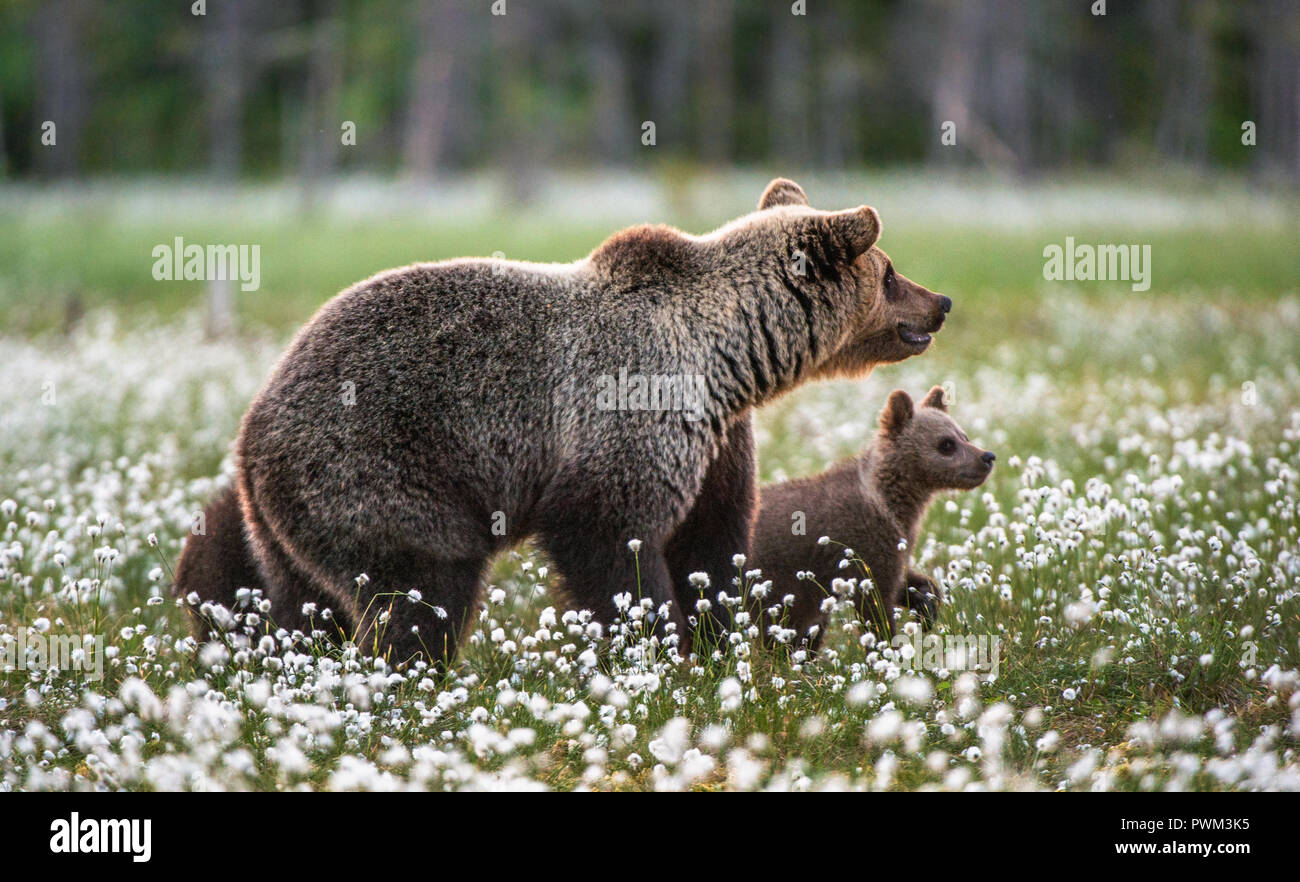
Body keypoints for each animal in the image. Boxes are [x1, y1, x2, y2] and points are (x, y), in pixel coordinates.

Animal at [173, 178, 953, 665]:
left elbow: (711, 543)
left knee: (299, 608)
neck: (729, 357)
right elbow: (609, 537)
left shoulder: (717, 440)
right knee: (423, 589)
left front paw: (715, 642)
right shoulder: (630, 414)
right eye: (889, 271)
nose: (941, 302)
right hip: (374, 469)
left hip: (283, 528)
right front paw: (659, 645)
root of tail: (248, 432)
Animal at [748, 385, 993, 651]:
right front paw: (891, 649)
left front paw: (926, 607)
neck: (893, 503)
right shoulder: (863, 543)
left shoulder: (894, 545)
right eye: (946, 443)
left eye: (964, 436)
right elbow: (876, 605)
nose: (987, 456)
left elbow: (907, 580)